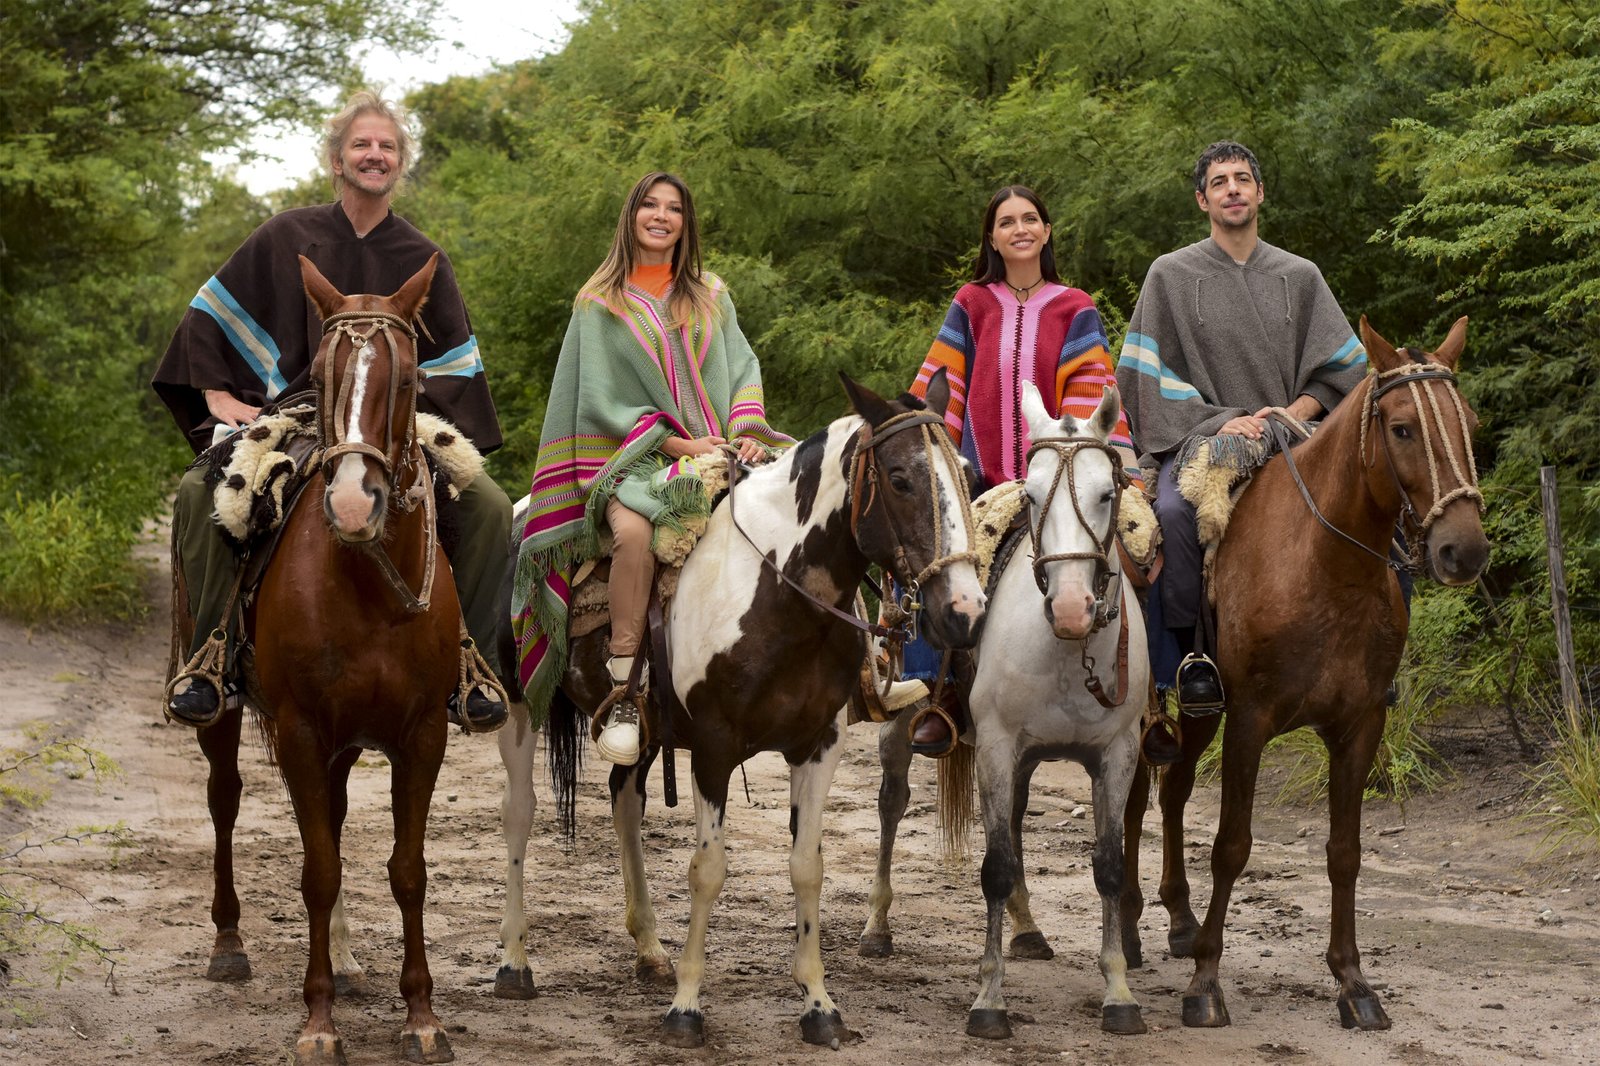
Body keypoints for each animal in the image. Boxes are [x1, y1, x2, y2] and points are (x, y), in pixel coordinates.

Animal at [191, 256, 464, 1062]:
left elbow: (407, 871)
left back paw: (343, 959)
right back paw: (229, 944)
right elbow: (318, 869)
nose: (350, 502)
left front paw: (422, 1014)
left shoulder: (420, 737)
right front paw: (318, 1022)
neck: (365, 584)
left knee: (336, 819)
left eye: (410, 378)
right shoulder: (304, 732)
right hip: (224, 717)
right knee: (225, 801)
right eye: (318, 370)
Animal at [534, 369, 985, 1043]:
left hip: (646, 736)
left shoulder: (819, 745)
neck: (778, 594)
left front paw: (819, 1005)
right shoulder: (713, 749)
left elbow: (806, 866)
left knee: (624, 799)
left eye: (965, 474)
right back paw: (514, 967)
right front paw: (686, 1008)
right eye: (901, 478)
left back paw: (650, 950)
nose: (965, 611)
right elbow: (708, 871)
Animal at [864, 384, 1152, 1037]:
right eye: (1031, 494)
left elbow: (1108, 865)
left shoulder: (1117, 755)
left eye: (1107, 493)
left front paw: (1119, 993)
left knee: (1017, 821)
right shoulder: (995, 748)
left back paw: (1028, 928)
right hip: (901, 719)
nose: (1071, 607)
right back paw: (876, 926)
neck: (1068, 651)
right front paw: (989, 1001)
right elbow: (994, 865)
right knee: (892, 804)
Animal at [1126, 315, 1484, 1030]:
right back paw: (1124, 932)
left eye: (1471, 423)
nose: (1466, 550)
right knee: (1128, 804)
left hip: (1198, 714)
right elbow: (1232, 846)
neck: (1322, 569)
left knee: (1173, 790)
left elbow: (1344, 853)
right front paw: (1206, 984)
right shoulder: (1250, 720)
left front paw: (1353, 983)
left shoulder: (1359, 725)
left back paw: (1178, 920)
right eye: (1401, 428)